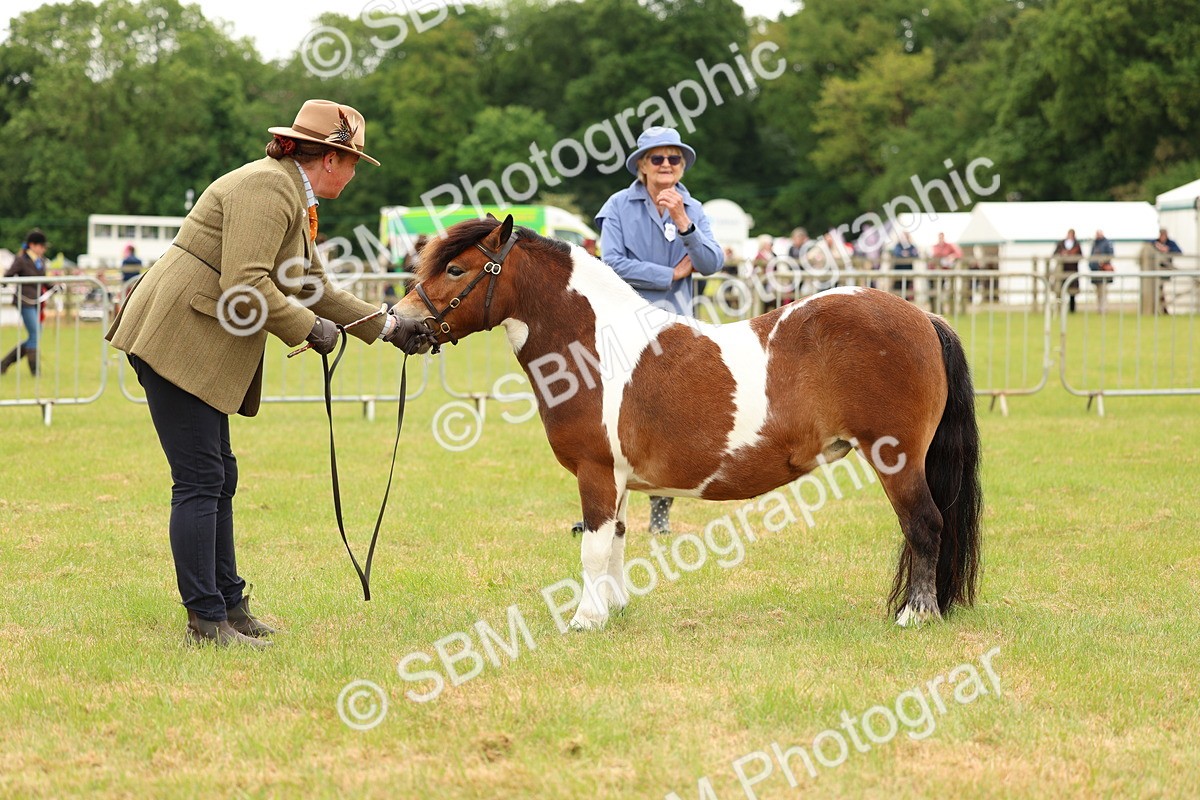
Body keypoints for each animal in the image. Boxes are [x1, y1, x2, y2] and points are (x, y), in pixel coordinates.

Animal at [393, 215, 982, 631]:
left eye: (454, 269)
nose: (399, 323)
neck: (593, 346)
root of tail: (922, 315)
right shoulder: (619, 480)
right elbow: (618, 540)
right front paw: (614, 611)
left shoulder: (596, 472)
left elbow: (593, 546)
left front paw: (584, 619)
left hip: (896, 458)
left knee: (925, 526)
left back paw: (915, 616)